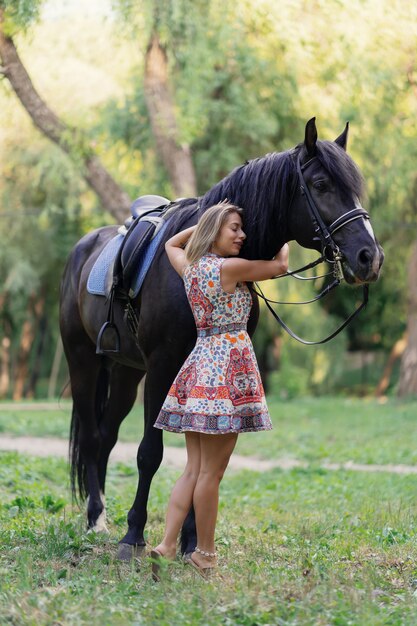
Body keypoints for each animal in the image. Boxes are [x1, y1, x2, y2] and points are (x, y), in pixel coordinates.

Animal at [59, 119, 384, 560]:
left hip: (127, 373)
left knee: (106, 437)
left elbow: (204, 454)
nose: (371, 258)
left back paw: (104, 515)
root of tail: (84, 246)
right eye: (320, 184)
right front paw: (134, 536)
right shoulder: (163, 366)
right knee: (93, 438)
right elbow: (149, 453)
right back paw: (95, 518)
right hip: (83, 362)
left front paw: (191, 541)